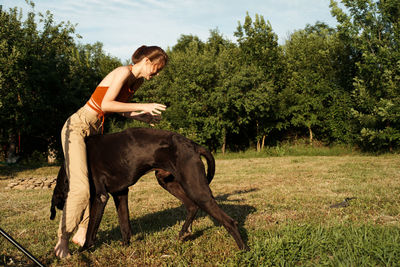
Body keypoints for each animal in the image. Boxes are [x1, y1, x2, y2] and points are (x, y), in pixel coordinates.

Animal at [50, 127, 247, 251]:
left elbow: (92, 229)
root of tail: (192, 144)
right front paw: (125, 246)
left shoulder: (100, 197)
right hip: (168, 181)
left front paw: (84, 250)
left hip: (196, 188)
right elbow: (125, 225)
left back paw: (243, 250)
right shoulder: (120, 194)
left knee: (229, 221)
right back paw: (183, 233)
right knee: (192, 206)